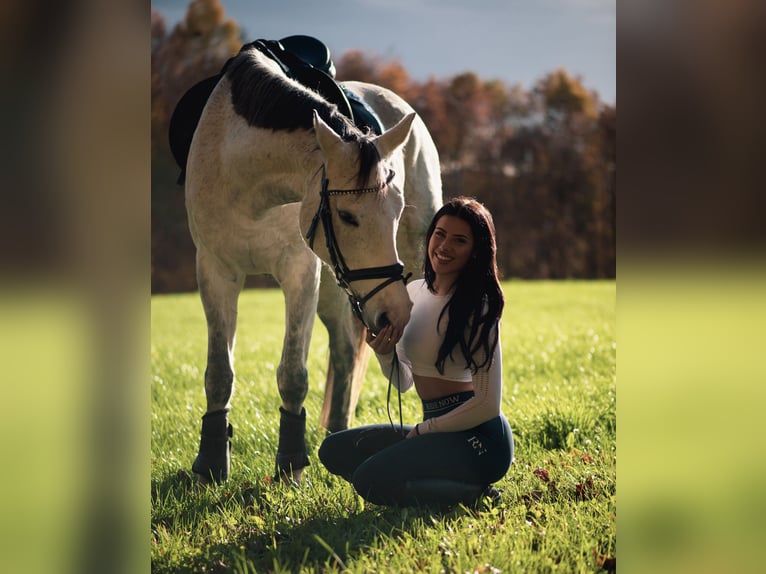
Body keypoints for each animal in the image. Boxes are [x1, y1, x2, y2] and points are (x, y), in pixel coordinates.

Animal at [182, 42, 444, 486]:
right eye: (347, 216)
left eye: (395, 211)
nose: (395, 312)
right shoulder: (215, 271)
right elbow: (219, 372)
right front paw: (212, 466)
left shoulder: (300, 273)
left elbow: (293, 374)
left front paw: (290, 465)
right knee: (344, 351)